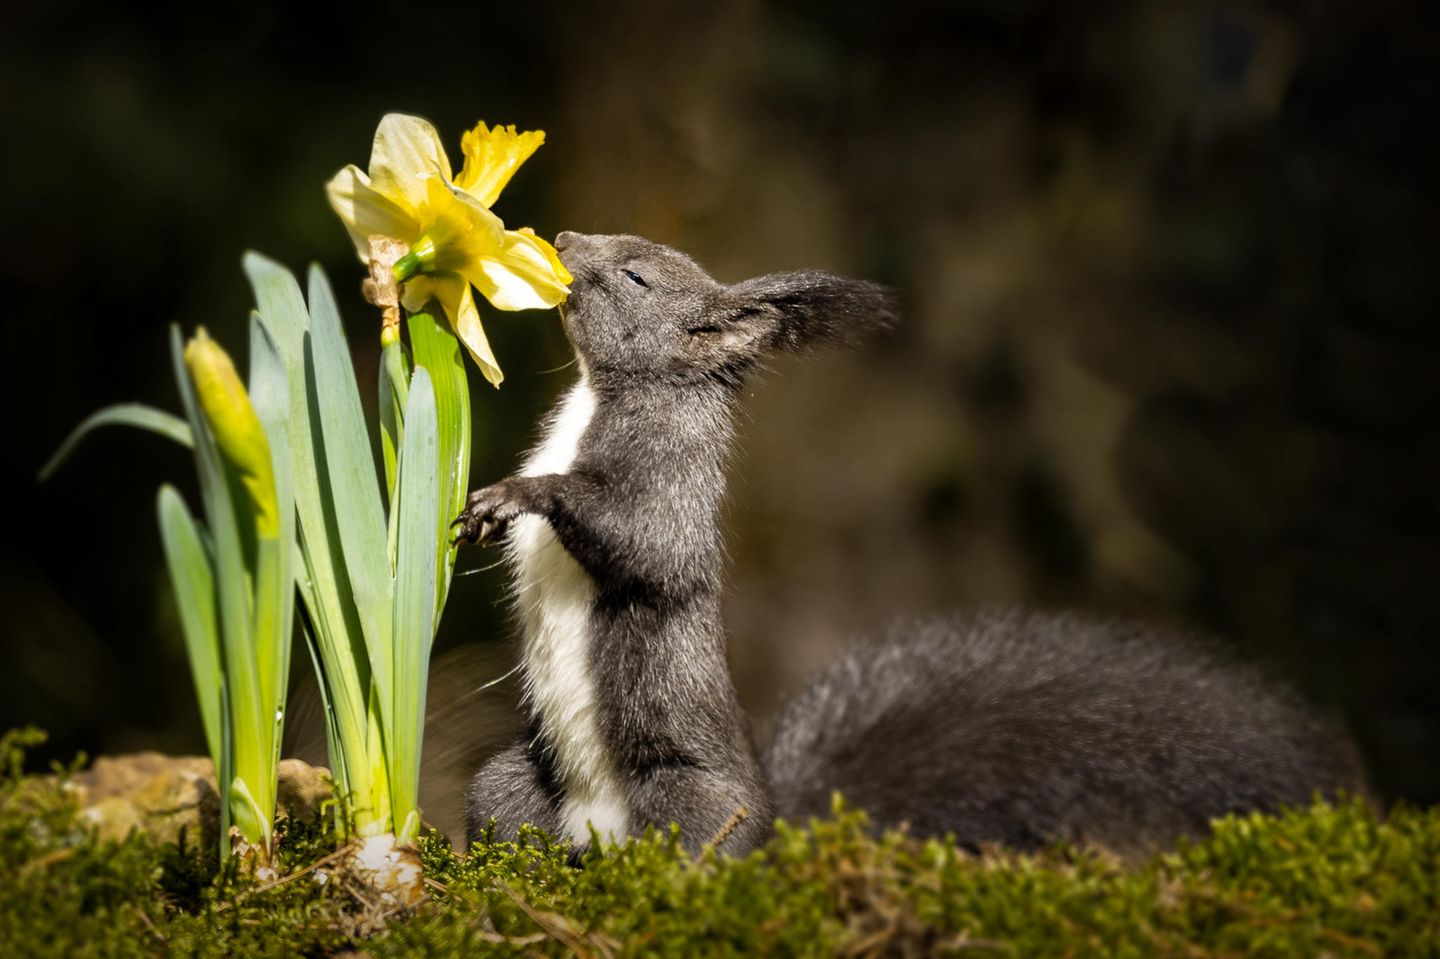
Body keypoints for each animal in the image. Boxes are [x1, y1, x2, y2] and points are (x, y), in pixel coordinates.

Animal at [455, 232, 1369, 857]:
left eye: (638, 275)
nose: (563, 239)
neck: (600, 397)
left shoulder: (670, 480)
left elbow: (641, 542)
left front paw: (521, 497)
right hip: (515, 790)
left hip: (691, 801)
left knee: (695, 851)